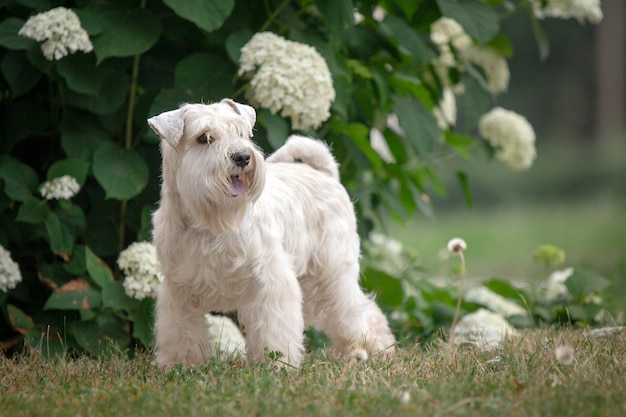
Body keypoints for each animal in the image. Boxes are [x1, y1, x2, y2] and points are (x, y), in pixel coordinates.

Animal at [147, 99, 394, 366]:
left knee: (359, 312)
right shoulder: (178, 288)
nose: (243, 157)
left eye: (241, 132)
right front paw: (181, 364)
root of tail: (326, 174)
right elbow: (182, 331)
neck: (211, 225)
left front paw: (278, 363)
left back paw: (376, 350)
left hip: (333, 274)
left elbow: (274, 327)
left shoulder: (269, 281)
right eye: (204, 137)